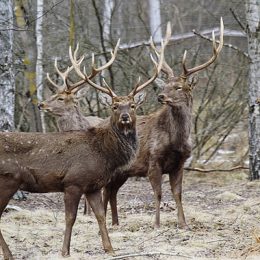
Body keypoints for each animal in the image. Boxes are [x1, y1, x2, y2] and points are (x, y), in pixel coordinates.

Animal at [0, 25, 171, 258]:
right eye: (114, 106)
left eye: (133, 105)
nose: (125, 117)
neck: (103, 153)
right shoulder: (73, 181)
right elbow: (70, 218)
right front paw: (65, 251)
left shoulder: (92, 185)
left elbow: (100, 215)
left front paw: (110, 248)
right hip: (7, 179)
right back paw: (9, 254)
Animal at [103, 17, 223, 228]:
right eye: (165, 85)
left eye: (179, 87)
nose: (160, 96)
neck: (176, 141)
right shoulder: (153, 160)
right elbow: (158, 194)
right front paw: (157, 224)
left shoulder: (180, 163)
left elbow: (178, 194)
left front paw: (183, 224)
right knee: (105, 192)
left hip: (122, 173)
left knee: (111, 192)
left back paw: (116, 223)